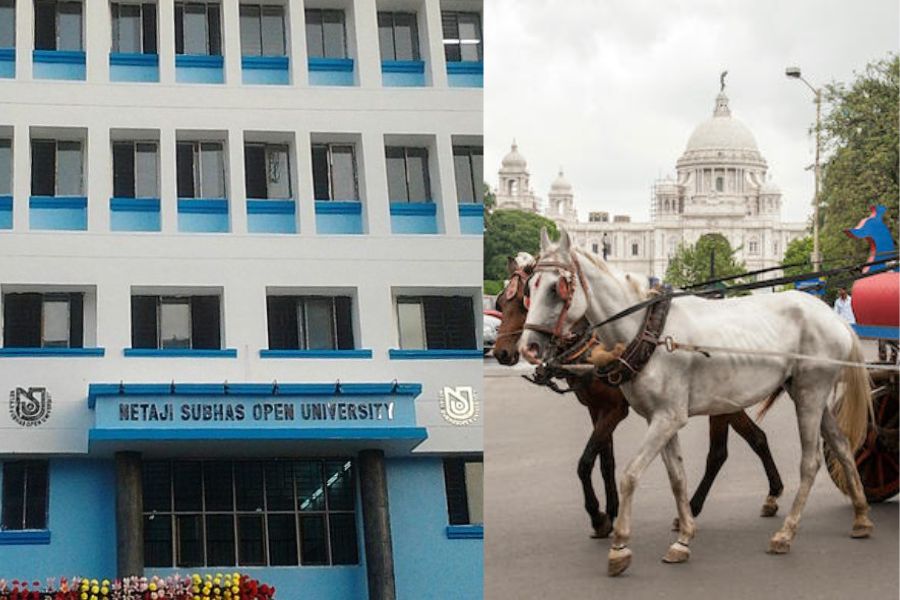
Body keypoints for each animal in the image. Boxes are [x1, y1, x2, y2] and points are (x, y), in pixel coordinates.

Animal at [496, 255, 784, 536]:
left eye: (525, 300)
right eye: (500, 302)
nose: (501, 353)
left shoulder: (614, 411)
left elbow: (586, 461)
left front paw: (598, 517)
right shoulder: (596, 409)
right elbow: (606, 460)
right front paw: (611, 511)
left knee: (718, 454)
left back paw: (692, 508)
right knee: (757, 438)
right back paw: (773, 493)